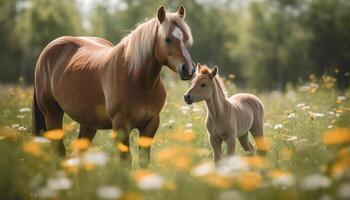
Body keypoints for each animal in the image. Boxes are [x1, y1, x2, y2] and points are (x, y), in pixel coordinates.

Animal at [32, 5, 194, 167]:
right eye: (167, 39)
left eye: (186, 38)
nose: (189, 69)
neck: (137, 79)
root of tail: (45, 53)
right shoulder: (121, 126)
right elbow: (125, 162)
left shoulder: (151, 124)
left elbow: (144, 161)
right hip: (52, 114)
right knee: (58, 150)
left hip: (88, 122)